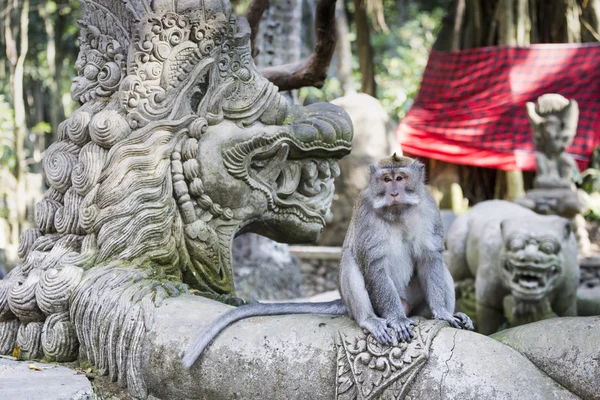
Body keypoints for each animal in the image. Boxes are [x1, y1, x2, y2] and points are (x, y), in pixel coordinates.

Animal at [180, 153, 472, 368]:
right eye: (386, 179)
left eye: (400, 178)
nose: (394, 192)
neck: (398, 212)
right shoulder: (365, 210)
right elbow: (373, 264)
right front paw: (397, 320)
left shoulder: (429, 208)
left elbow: (430, 258)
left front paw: (443, 313)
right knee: (352, 264)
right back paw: (371, 319)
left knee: (440, 267)